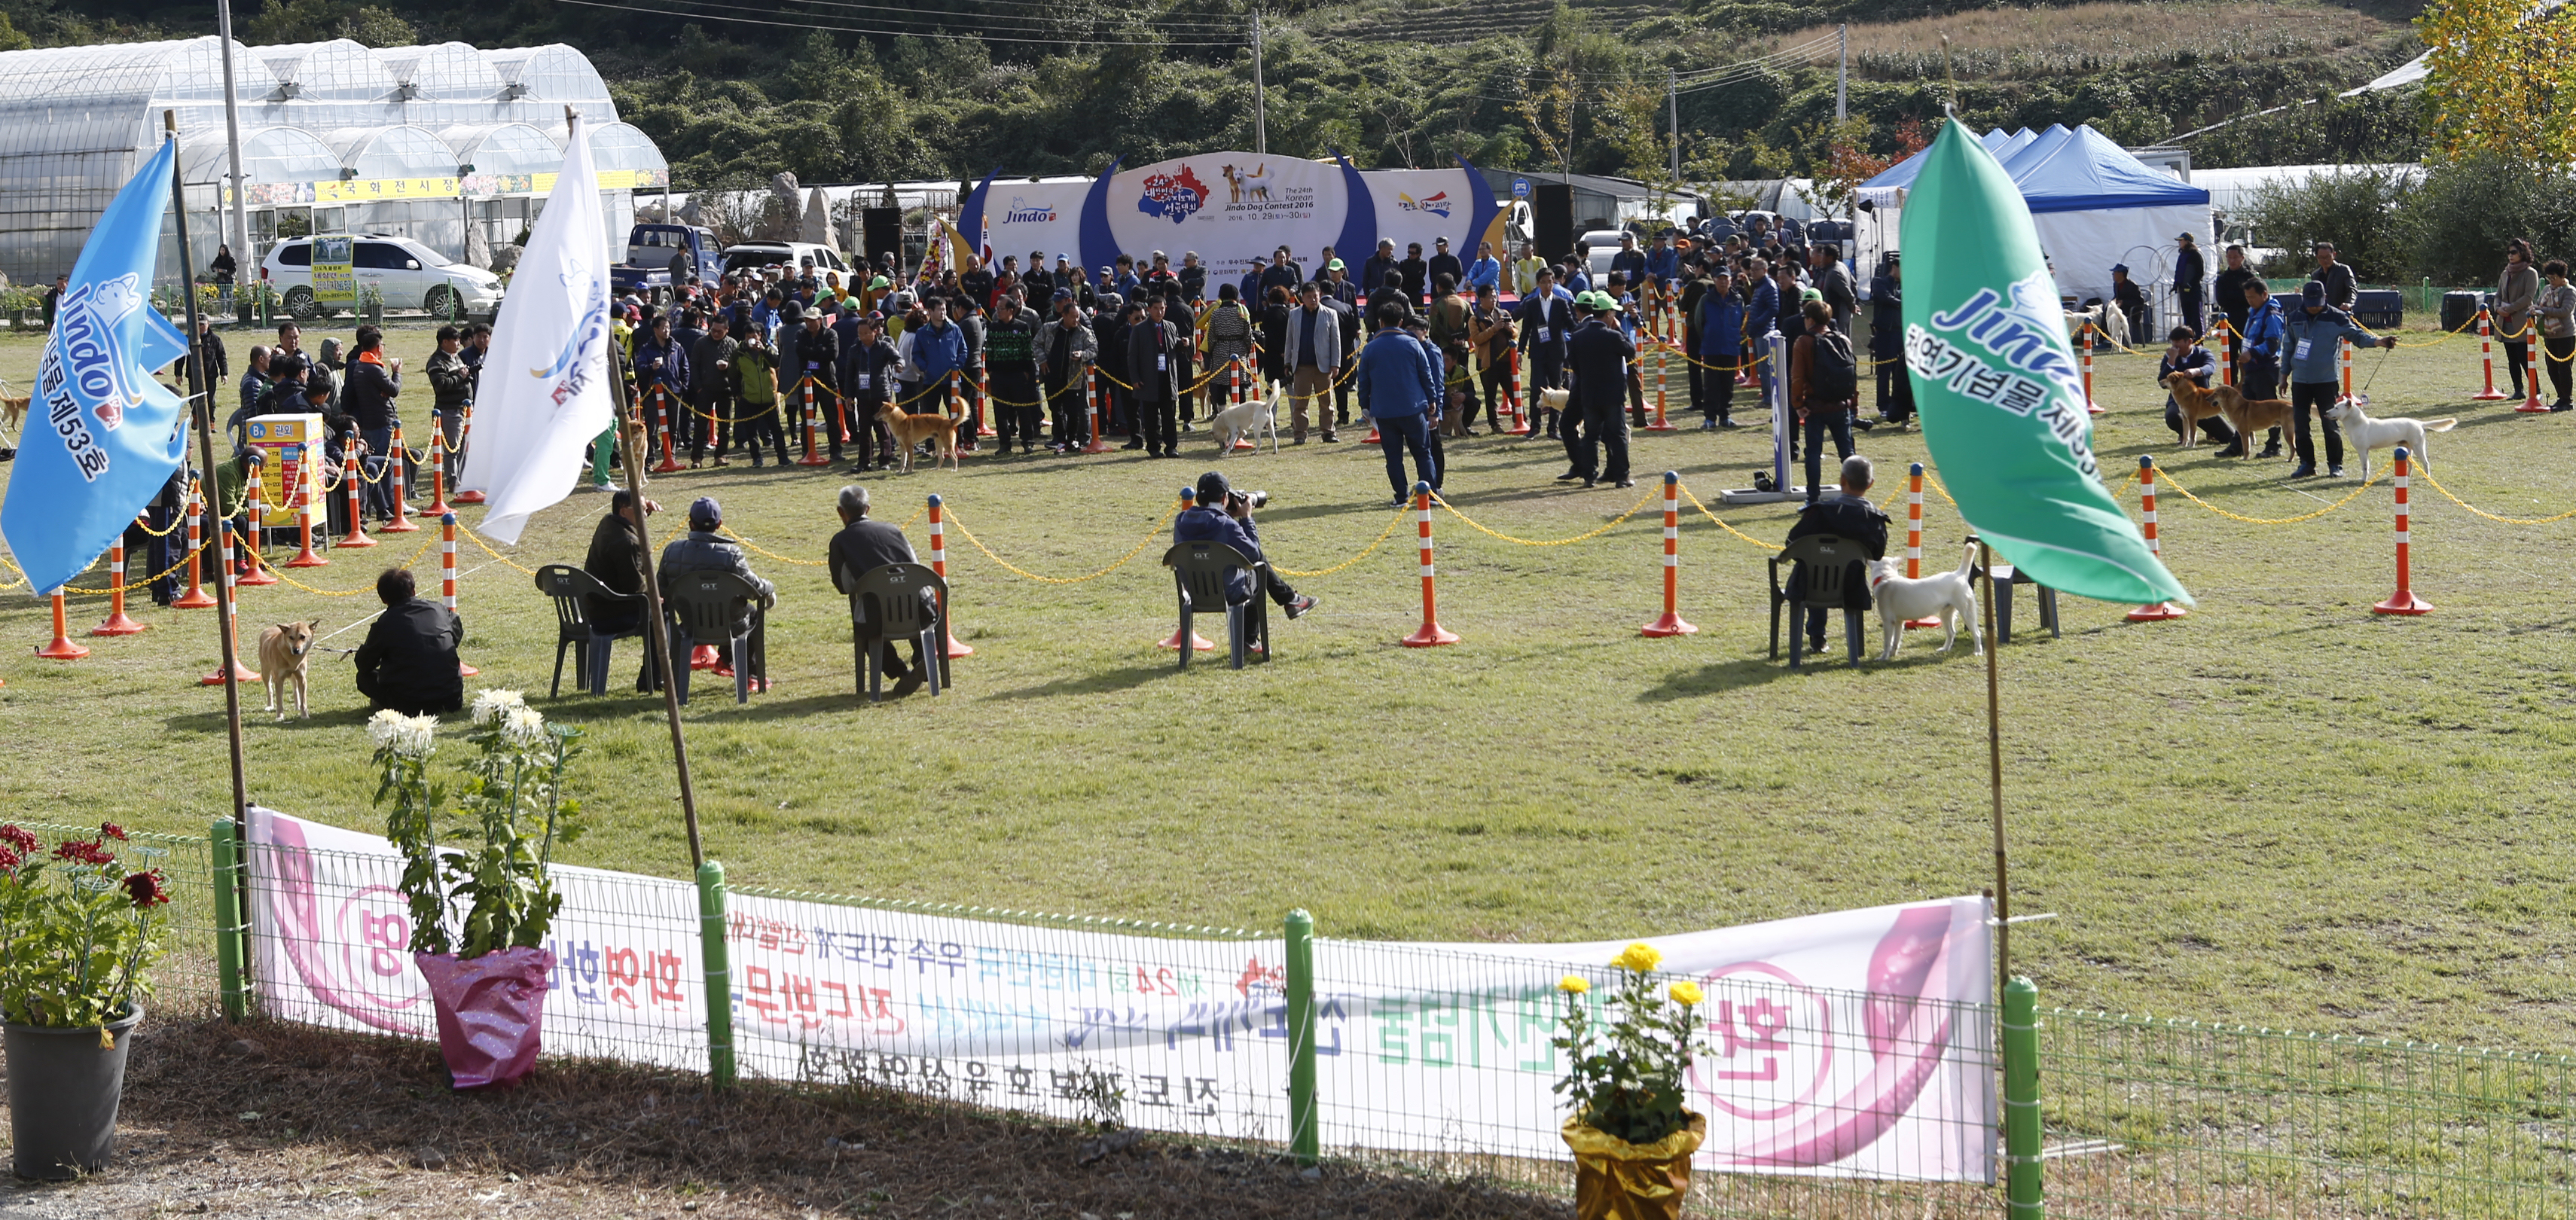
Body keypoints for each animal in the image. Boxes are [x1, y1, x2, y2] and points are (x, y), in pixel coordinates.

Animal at [1865, 540, 1978, 663]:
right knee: (1952, 633)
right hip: (1945, 614)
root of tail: (1959, 574)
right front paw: (1892, 654)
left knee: (1977, 633)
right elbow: (1896, 642)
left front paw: (1883, 658)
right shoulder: (1899, 623)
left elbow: (1887, 643)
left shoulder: (1888, 622)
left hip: (1967, 614)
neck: (1886, 577)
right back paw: (1945, 649)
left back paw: (1978, 652)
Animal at [2328, 401, 2462, 476]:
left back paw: (2427, 477)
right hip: (2407, 447)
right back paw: (2407, 476)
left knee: (2426, 463)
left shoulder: (2363, 450)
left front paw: (2364, 480)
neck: (2359, 424)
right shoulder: (2362, 452)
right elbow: (2365, 466)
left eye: (2337, 408)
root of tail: (2419, 423)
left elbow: (2365, 467)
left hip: (2418, 447)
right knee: (2411, 464)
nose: (2326, 412)